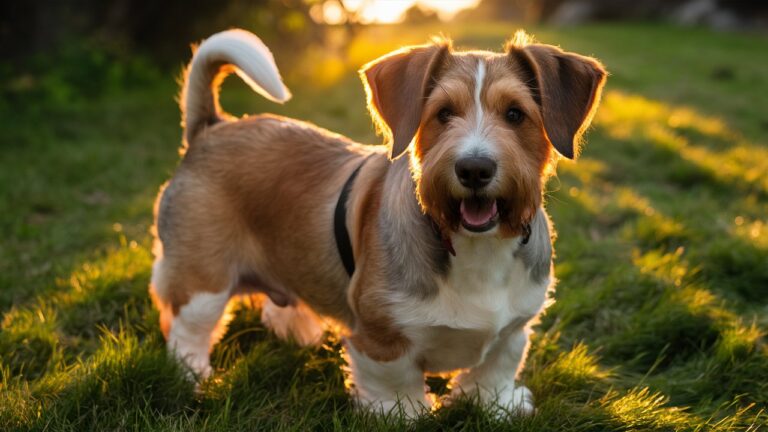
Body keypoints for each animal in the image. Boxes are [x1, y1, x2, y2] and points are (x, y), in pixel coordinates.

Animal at [150, 28, 608, 416]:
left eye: (515, 114)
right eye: (443, 114)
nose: (474, 169)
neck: (473, 246)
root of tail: (211, 127)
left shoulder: (514, 329)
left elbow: (494, 370)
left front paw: (495, 405)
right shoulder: (379, 335)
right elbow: (395, 380)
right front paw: (404, 411)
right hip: (202, 279)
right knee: (187, 329)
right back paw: (193, 376)